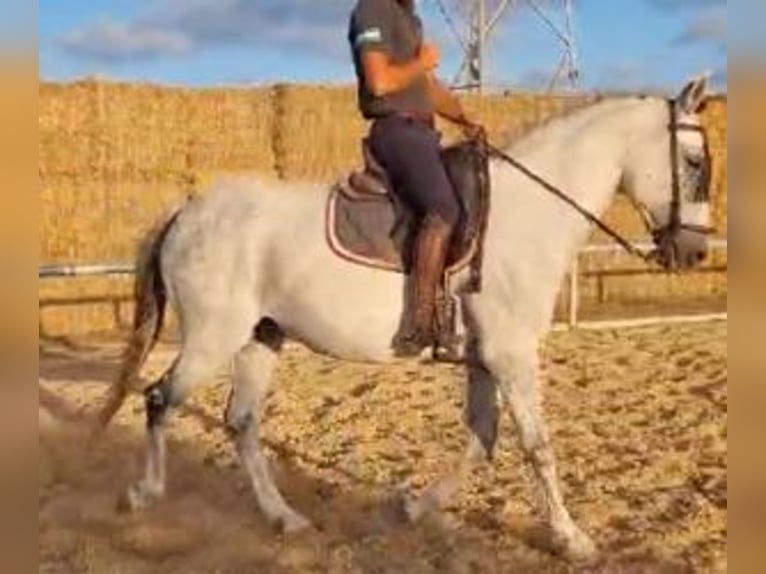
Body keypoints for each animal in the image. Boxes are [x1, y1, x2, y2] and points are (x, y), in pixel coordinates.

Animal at [99, 75, 716, 564]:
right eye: (693, 163)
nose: (694, 253)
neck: (526, 212)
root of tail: (187, 211)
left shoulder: (485, 359)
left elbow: (482, 439)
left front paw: (414, 508)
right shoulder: (513, 353)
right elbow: (537, 445)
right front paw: (572, 540)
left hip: (259, 340)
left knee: (241, 423)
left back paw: (285, 518)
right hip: (212, 339)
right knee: (159, 398)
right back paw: (142, 495)